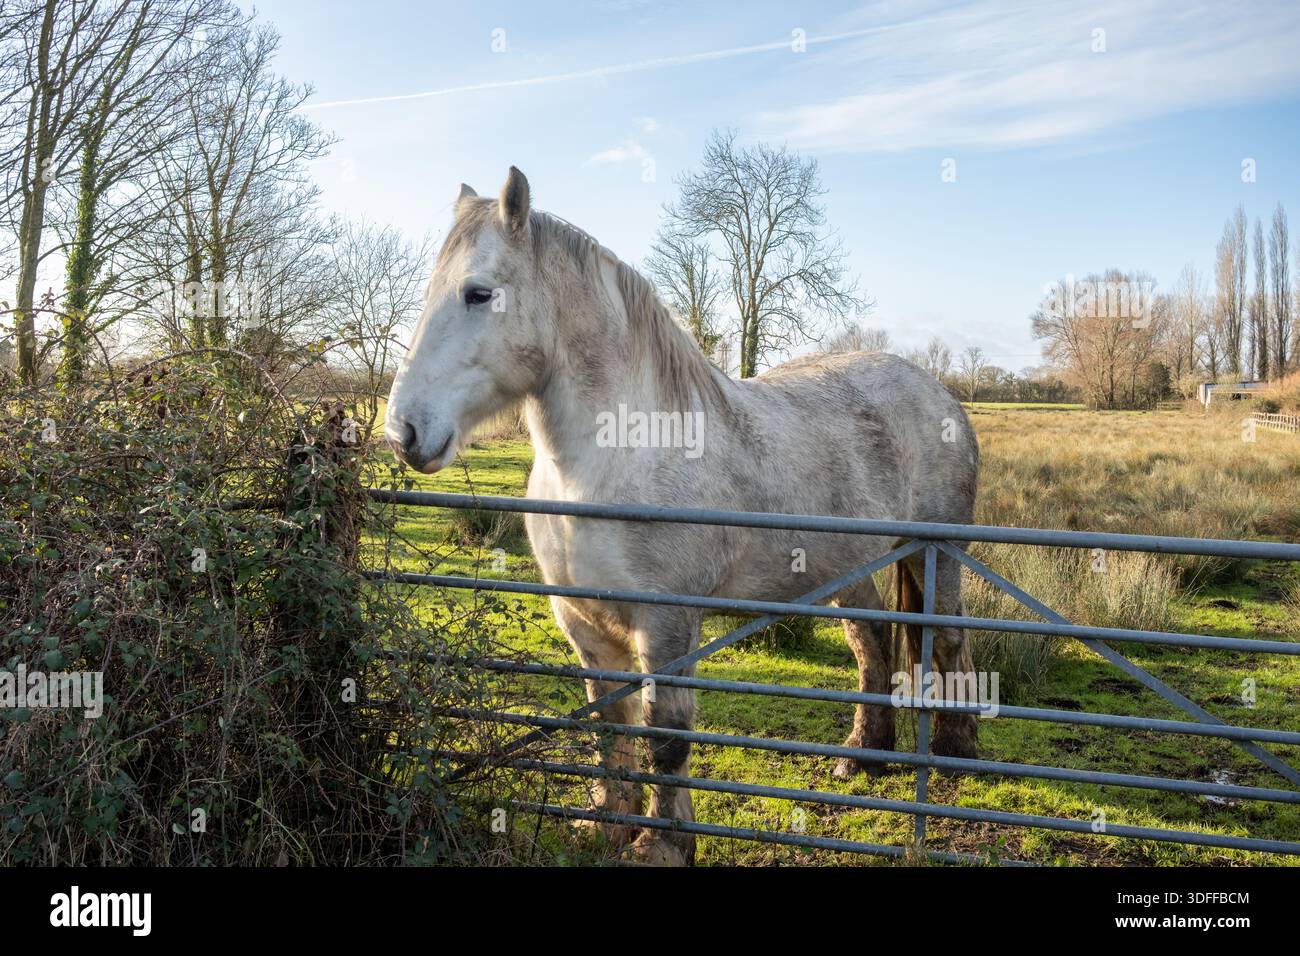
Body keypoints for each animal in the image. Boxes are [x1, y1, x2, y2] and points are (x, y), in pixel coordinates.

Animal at [385, 167, 980, 866]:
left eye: (478, 294)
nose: (404, 431)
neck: (617, 456)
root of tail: (937, 392)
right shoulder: (584, 623)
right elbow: (610, 725)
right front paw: (606, 826)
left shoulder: (667, 624)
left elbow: (666, 736)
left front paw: (663, 843)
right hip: (850, 570)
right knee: (873, 641)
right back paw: (863, 756)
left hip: (938, 556)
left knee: (948, 640)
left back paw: (956, 754)